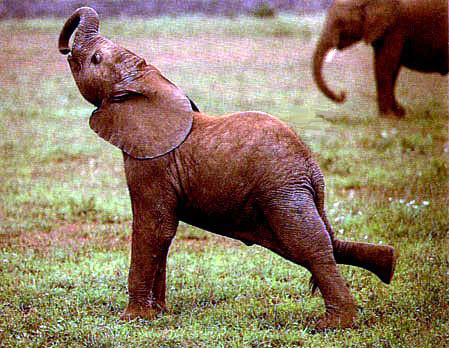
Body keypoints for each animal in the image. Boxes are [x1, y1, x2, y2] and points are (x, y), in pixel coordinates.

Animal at [58, 7, 396, 328]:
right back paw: (389, 264)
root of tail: (312, 166)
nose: (64, 48)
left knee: (309, 245)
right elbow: (163, 234)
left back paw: (334, 323)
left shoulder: (152, 162)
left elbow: (152, 228)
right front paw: (159, 313)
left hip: (281, 189)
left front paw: (134, 319)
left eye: (96, 59)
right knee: (317, 241)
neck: (149, 82)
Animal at [314, 0, 446, 117]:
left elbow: (385, 64)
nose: (343, 94)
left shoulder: (396, 27)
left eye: (340, 22)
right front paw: (398, 114)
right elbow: (388, 66)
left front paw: (388, 116)